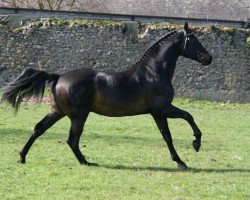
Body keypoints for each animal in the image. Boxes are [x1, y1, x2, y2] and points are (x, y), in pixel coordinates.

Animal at [1, 22, 213, 169]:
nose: (208, 58)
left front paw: (182, 158)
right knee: (72, 139)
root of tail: (59, 76)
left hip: (57, 112)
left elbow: (169, 134)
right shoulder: (161, 109)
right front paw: (193, 147)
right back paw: (86, 162)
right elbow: (185, 119)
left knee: (39, 129)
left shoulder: (157, 113)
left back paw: (22, 157)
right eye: (193, 39)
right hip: (79, 115)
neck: (153, 72)